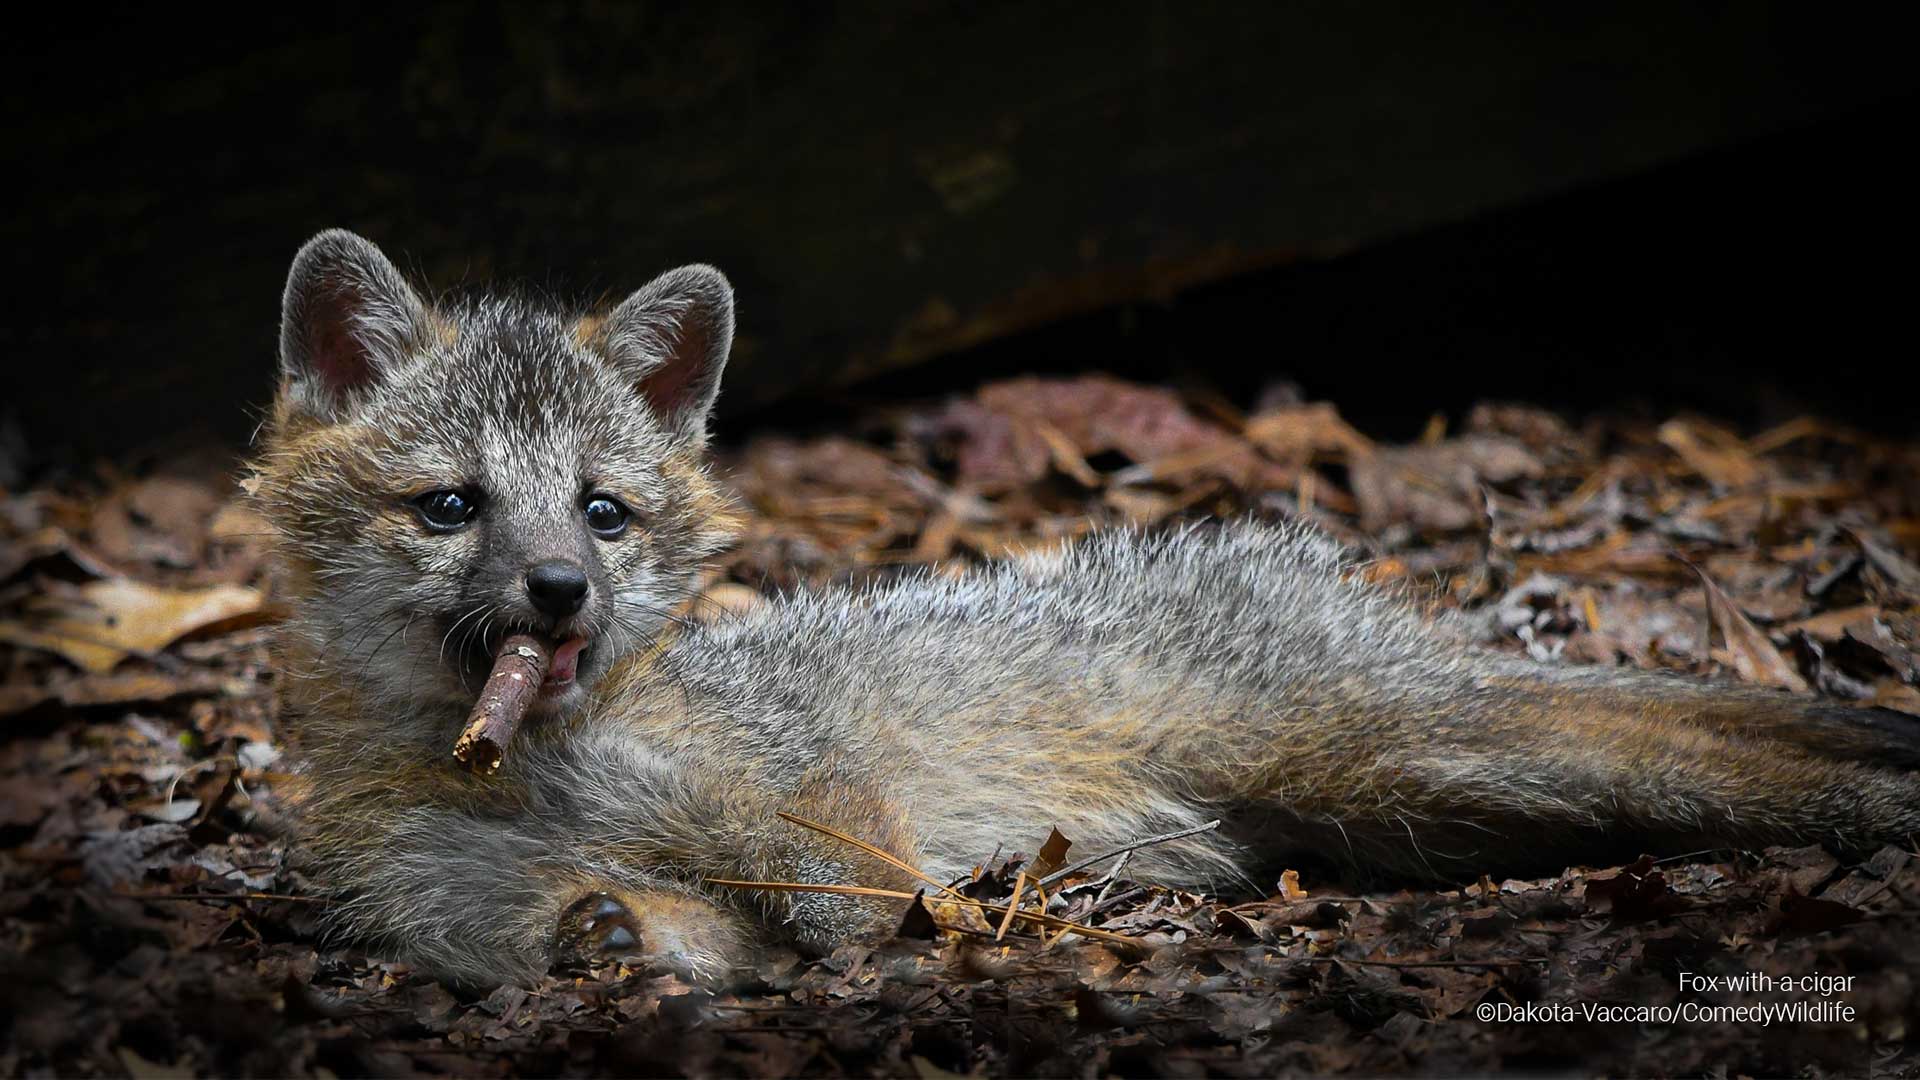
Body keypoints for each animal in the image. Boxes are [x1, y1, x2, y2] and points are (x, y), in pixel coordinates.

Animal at [251, 226, 1920, 983]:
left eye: (602, 512)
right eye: (453, 507)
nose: (559, 588)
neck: (539, 769)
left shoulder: (811, 801)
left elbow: (854, 893)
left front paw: (928, 943)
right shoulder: (507, 915)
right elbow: (628, 929)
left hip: (1409, 755)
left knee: (1717, 752)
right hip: (1406, 803)